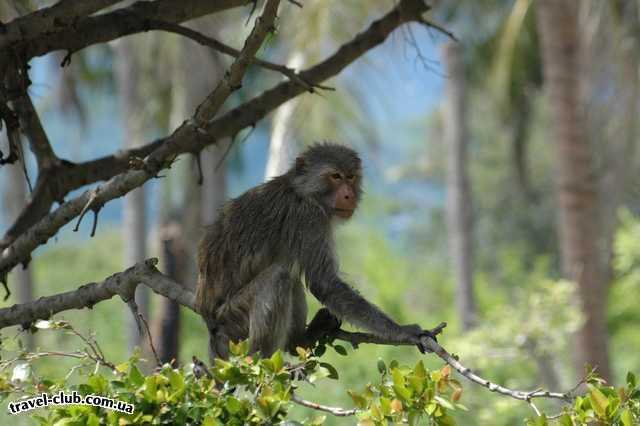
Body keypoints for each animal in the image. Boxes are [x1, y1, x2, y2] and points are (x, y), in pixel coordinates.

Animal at [194, 141, 436, 360]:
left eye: (351, 177)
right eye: (335, 176)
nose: (349, 195)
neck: (302, 191)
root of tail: (211, 328)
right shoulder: (309, 218)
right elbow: (324, 282)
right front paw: (403, 332)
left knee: (290, 279)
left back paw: (298, 342)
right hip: (234, 324)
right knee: (279, 277)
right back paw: (260, 362)